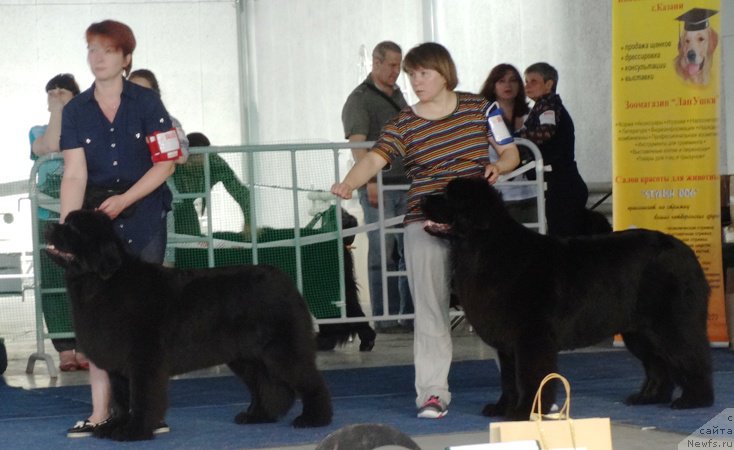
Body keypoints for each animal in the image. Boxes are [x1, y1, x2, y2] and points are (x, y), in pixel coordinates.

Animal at [44, 210, 332, 440]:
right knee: (269, 386)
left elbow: (141, 398)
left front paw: (133, 431)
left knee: (309, 382)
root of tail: (285, 279)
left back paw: (313, 419)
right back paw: (257, 416)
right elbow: (121, 400)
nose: (48, 226)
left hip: (282, 349)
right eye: (65, 221)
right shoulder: (116, 364)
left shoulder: (143, 360)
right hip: (247, 356)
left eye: (73, 228)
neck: (101, 282)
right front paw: (113, 427)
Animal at [422, 176, 716, 418]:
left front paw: (525, 411)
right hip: (640, 331)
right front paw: (502, 408)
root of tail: (686, 251)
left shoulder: (532, 338)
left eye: (448, 196)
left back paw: (694, 400)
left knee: (692, 357)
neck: (483, 248)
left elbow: (529, 376)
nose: (423, 198)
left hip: (672, 324)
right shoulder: (507, 343)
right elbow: (508, 378)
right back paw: (648, 397)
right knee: (658, 363)